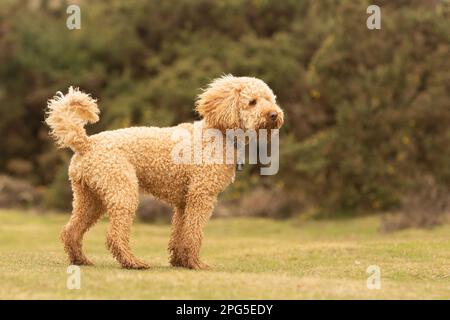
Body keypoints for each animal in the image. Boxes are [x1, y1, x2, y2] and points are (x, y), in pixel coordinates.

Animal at [45, 75, 284, 270]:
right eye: (252, 102)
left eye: (270, 99)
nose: (274, 114)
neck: (218, 133)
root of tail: (86, 143)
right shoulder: (201, 196)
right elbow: (194, 233)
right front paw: (195, 263)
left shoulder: (184, 203)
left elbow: (180, 233)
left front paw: (180, 262)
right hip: (123, 192)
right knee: (114, 235)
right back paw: (133, 262)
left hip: (89, 198)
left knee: (71, 231)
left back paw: (80, 260)